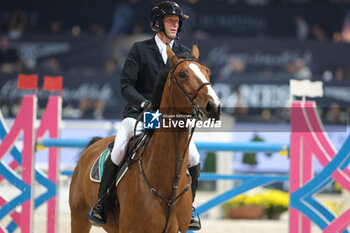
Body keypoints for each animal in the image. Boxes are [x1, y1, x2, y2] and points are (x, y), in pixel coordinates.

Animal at [69, 44, 221, 233]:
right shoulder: (130, 229)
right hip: (79, 218)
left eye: (207, 72)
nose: (214, 106)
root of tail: (94, 145)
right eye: (182, 74)